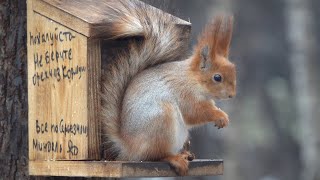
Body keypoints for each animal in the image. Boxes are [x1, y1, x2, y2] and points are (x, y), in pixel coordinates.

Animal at [101, 0, 236, 176]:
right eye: (217, 77)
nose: (232, 95)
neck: (193, 79)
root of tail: (128, 145)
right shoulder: (184, 93)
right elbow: (195, 112)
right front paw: (220, 115)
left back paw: (184, 155)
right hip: (161, 120)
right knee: (156, 155)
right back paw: (175, 159)